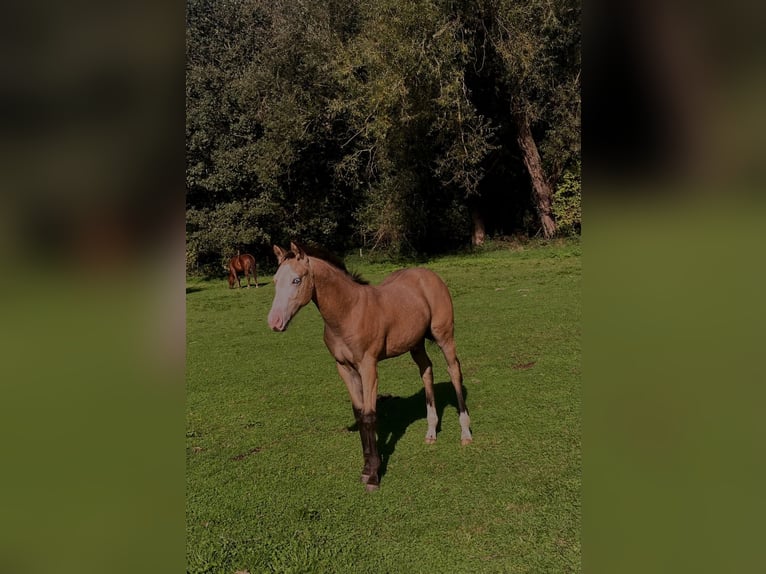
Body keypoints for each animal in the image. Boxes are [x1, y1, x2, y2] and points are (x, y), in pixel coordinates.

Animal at [267, 242, 472, 491]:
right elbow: (359, 413)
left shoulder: (368, 366)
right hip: (415, 343)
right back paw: (431, 431)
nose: (274, 322)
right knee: (426, 371)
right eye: (275, 280)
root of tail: (429, 274)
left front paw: (373, 475)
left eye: (296, 280)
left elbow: (369, 415)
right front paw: (365, 469)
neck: (348, 312)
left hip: (444, 335)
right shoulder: (344, 368)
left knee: (454, 371)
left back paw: (465, 433)